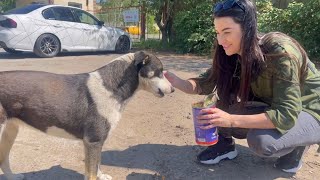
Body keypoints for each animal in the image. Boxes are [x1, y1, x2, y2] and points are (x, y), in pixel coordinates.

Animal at [0, 51, 175, 180]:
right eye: (159, 71)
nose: (173, 89)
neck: (110, 86)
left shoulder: (97, 142)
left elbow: (97, 164)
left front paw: (101, 176)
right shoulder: (93, 141)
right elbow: (91, 172)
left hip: (10, 131)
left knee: (3, 158)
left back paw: (12, 176)